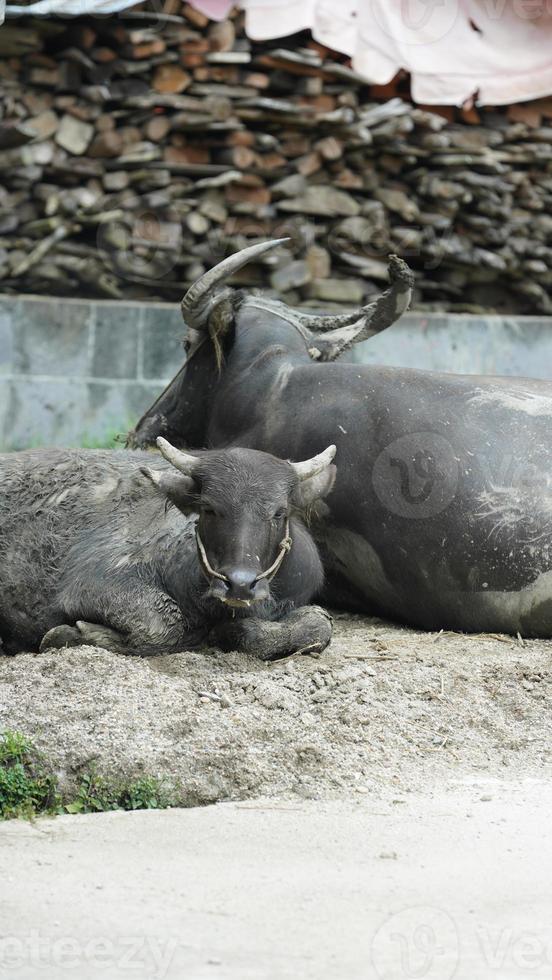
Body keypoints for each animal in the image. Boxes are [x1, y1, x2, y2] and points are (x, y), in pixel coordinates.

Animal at [0, 438, 332, 660]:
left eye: (279, 512)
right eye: (209, 508)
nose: (240, 584)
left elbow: (319, 625)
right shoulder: (95, 581)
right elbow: (164, 624)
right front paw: (70, 634)